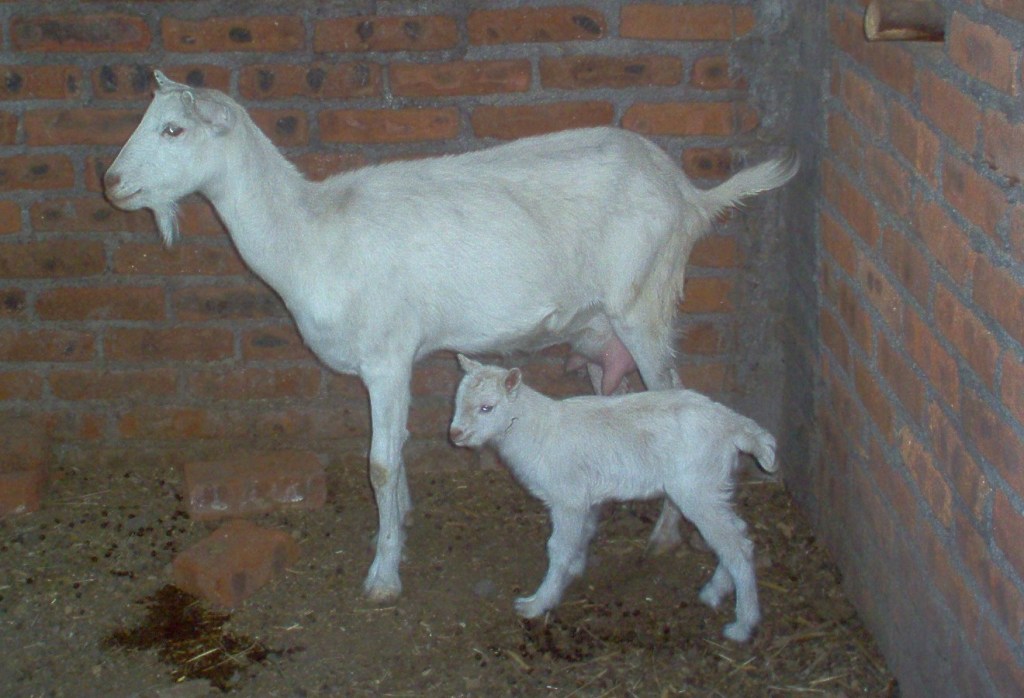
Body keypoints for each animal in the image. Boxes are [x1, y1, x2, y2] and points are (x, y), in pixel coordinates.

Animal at [104, 70, 797, 602]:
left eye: (174, 130)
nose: (110, 183)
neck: (310, 234)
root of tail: (688, 194)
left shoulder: (386, 356)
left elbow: (380, 463)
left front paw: (383, 576)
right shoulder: (396, 361)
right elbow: (400, 451)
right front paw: (401, 525)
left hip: (644, 305)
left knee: (672, 388)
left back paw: (665, 535)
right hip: (605, 331)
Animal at [449, 355, 777, 642]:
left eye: (487, 408)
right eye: (458, 401)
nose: (455, 434)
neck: (536, 430)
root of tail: (734, 426)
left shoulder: (567, 497)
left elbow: (558, 547)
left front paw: (538, 602)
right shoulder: (586, 497)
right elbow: (584, 534)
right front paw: (575, 568)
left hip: (697, 488)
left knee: (736, 546)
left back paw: (743, 624)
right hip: (712, 487)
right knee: (738, 535)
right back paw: (714, 591)